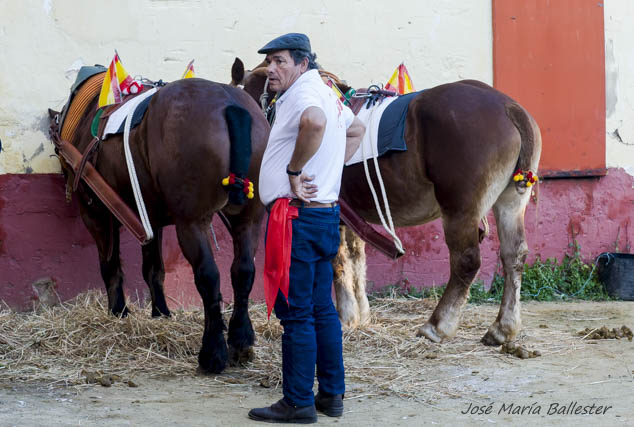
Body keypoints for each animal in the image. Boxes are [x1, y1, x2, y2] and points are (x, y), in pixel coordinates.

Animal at [48, 72, 266, 372]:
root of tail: (230, 103)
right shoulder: (150, 218)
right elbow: (154, 269)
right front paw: (160, 312)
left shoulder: (96, 214)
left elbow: (110, 266)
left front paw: (118, 311)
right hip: (249, 219)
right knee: (243, 271)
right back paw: (240, 340)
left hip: (191, 223)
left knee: (209, 276)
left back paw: (212, 352)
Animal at [230, 58, 540, 346]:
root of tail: (508, 107)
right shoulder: (352, 216)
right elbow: (357, 259)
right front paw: (361, 314)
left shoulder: (333, 212)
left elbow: (338, 262)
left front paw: (345, 316)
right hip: (511, 202)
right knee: (514, 256)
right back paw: (503, 328)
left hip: (459, 208)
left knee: (466, 260)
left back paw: (438, 324)